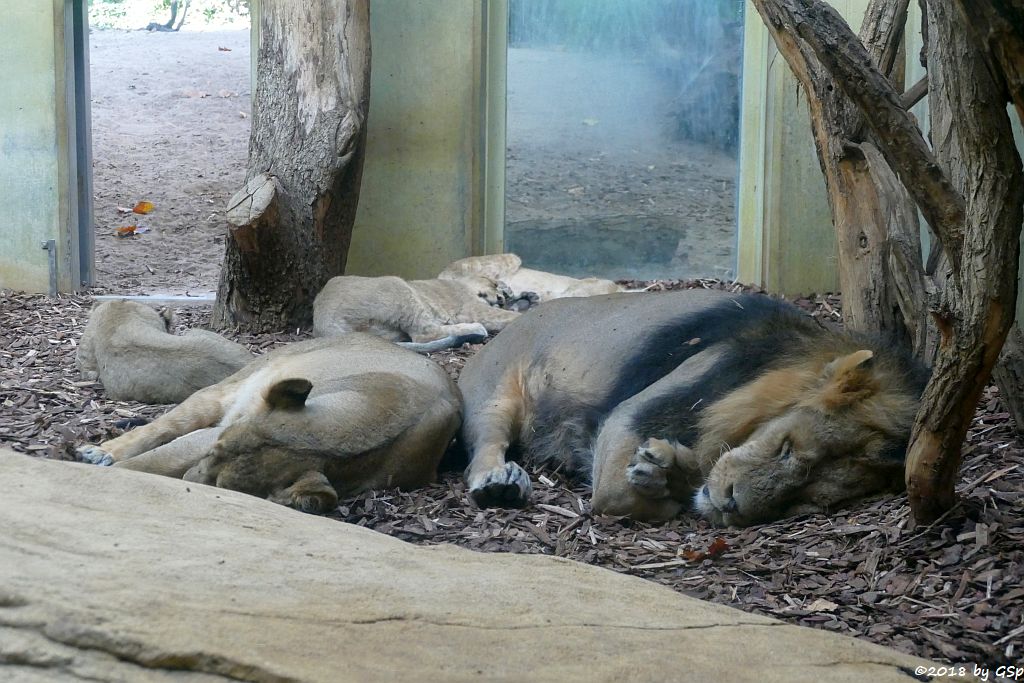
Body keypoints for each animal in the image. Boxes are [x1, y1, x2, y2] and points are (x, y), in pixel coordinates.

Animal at [77, 331, 462, 511]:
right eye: (213, 454)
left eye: (224, 488)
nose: (190, 480)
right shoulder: (214, 434)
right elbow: (153, 459)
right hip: (231, 387)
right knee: (164, 426)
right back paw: (100, 452)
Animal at [460, 290, 933, 528]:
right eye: (785, 448)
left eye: (808, 497)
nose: (733, 507)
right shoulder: (630, 416)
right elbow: (618, 497)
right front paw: (668, 483)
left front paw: (673, 470)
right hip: (494, 392)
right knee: (486, 444)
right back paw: (499, 483)